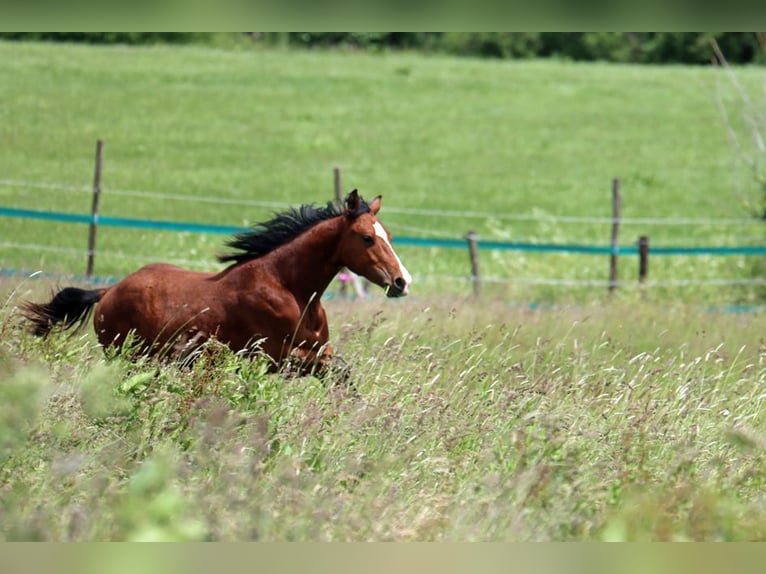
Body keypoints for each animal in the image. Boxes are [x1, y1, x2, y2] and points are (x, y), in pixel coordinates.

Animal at [21, 190, 412, 378]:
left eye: (389, 236)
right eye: (366, 238)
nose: (401, 281)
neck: (290, 289)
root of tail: (108, 291)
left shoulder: (317, 352)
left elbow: (343, 375)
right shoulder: (276, 357)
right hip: (128, 356)